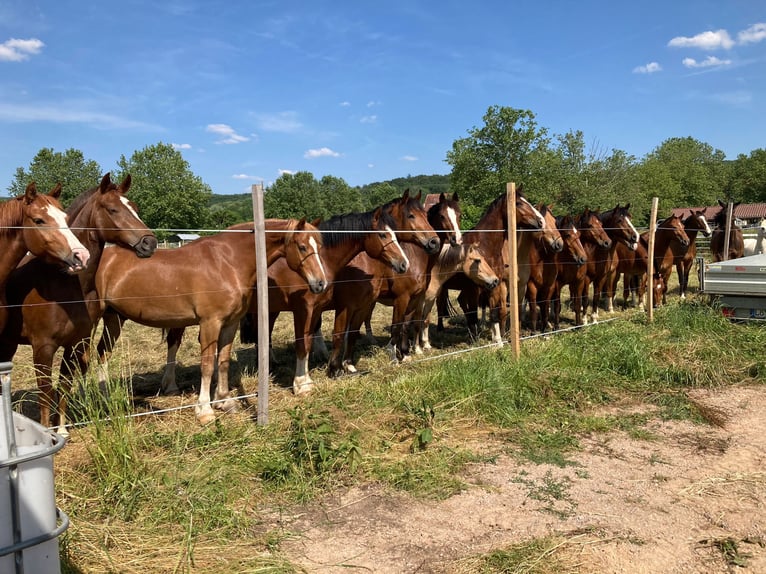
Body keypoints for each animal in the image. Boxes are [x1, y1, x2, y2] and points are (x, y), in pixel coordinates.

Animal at [94, 218, 328, 426]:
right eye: (302, 247)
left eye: (320, 246)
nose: (321, 283)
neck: (227, 262)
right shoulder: (210, 324)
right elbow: (207, 365)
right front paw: (204, 410)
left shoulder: (230, 323)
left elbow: (223, 361)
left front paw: (224, 401)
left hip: (115, 318)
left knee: (103, 351)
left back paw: (105, 398)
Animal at [161, 191, 438, 398]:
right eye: (411, 215)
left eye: (426, 214)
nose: (434, 242)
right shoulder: (331, 307)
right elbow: (331, 337)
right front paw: (326, 373)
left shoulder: (351, 306)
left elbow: (341, 335)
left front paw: (342, 367)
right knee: (176, 340)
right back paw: (171, 384)